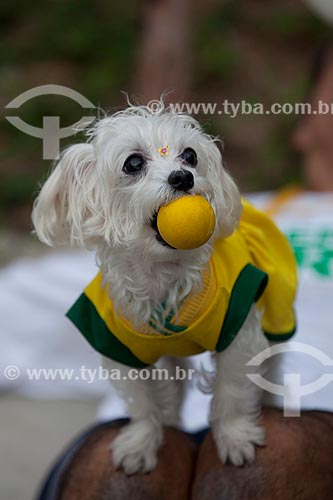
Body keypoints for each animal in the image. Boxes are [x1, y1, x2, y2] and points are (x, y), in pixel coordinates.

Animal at [31, 103, 286, 474]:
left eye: (190, 155)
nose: (183, 177)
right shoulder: (119, 345)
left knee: (273, 364)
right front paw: (140, 443)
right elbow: (142, 401)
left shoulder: (238, 328)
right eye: (133, 162)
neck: (163, 276)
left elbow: (232, 389)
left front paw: (235, 436)